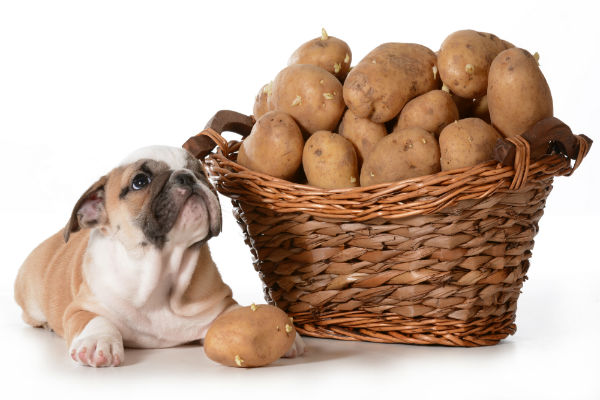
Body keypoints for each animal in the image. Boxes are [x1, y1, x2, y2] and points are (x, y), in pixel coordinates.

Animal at [14, 145, 304, 368]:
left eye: (201, 172)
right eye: (140, 181)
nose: (187, 177)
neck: (164, 270)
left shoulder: (222, 304)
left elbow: (236, 313)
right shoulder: (82, 306)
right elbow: (95, 320)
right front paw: (99, 342)